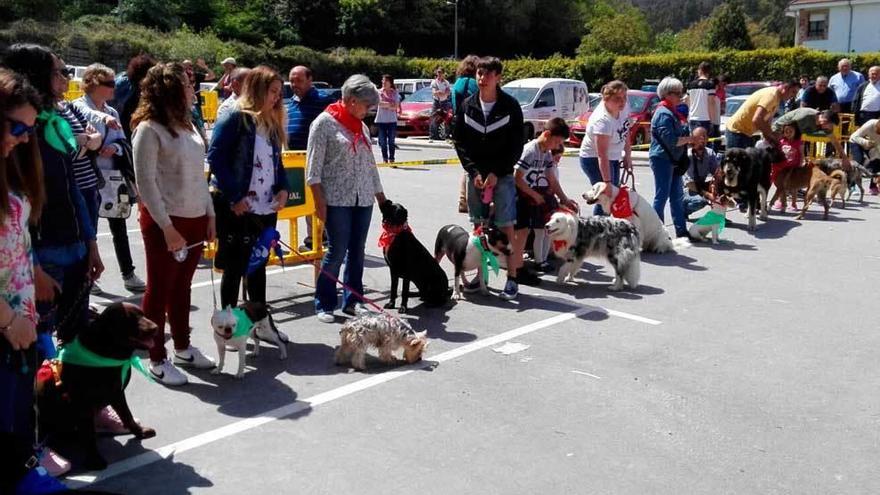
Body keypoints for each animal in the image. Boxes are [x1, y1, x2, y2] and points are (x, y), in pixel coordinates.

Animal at [37, 302, 159, 468]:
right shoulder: (84, 403)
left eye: (143, 314)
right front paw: (94, 459)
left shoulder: (117, 393)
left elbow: (127, 415)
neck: (106, 353)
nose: (156, 327)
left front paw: (140, 432)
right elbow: (89, 434)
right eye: (130, 318)